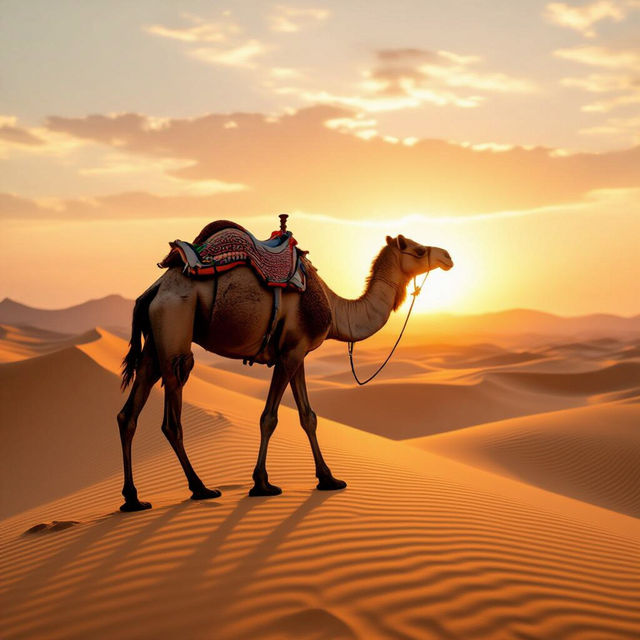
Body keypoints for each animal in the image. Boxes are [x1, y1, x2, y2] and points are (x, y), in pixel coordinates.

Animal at [117, 227, 453, 511]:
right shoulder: (290, 354)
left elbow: (309, 417)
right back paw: (201, 488)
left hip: (155, 344)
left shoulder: (297, 354)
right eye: (418, 250)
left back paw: (133, 499)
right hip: (176, 327)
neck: (335, 308)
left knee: (128, 413)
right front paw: (262, 484)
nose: (448, 256)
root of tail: (154, 290)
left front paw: (328, 479)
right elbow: (269, 417)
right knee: (172, 414)